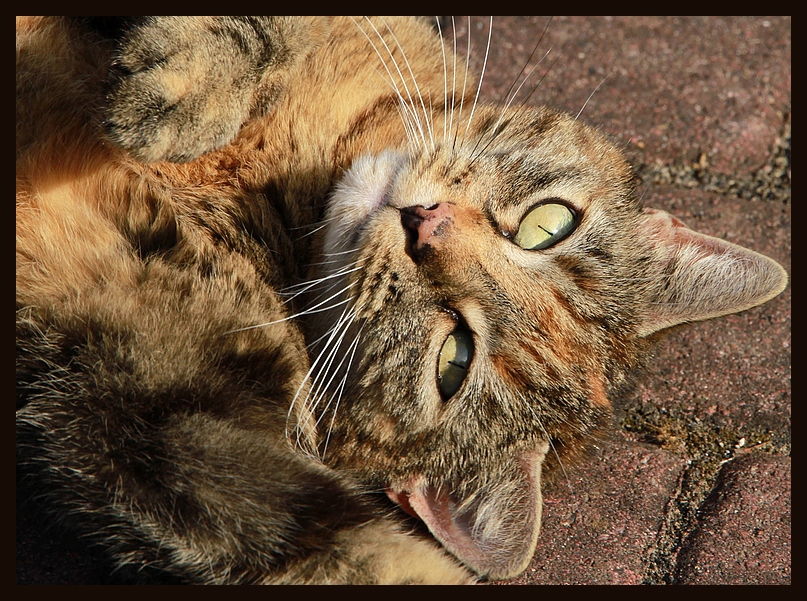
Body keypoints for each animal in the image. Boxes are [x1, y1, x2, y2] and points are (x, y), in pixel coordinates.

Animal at [14, 16, 788, 584]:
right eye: (548, 224)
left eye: (453, 359)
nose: (425, 226)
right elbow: (265, 28)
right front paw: (183, 85)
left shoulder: (142, 403)